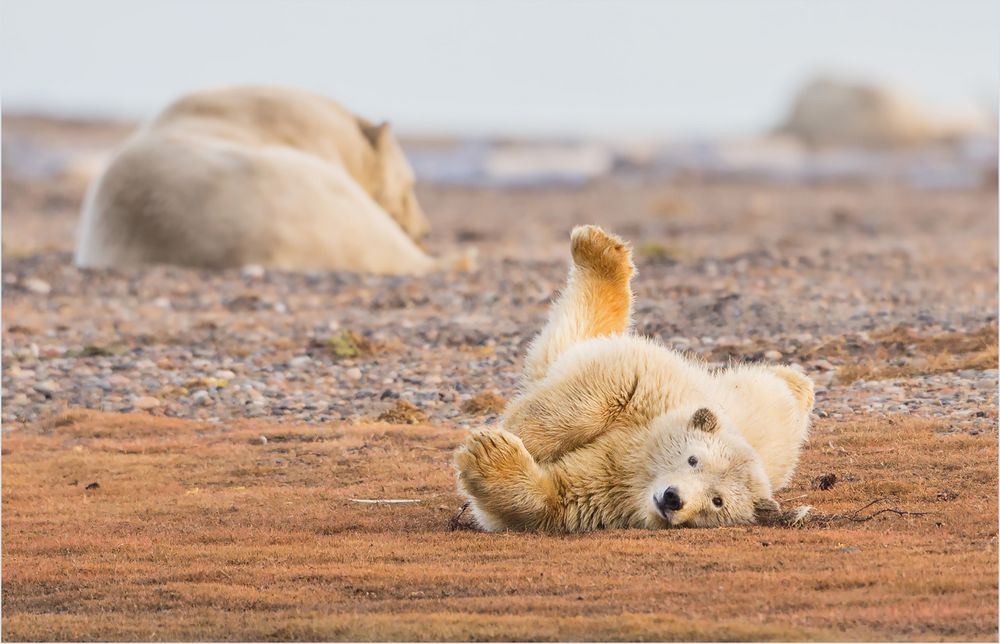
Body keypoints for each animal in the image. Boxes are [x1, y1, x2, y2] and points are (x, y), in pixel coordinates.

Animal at [458, 226, 816, 532]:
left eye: (718, 501)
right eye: (693, 459)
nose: (673, 499)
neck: (636, 460)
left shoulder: (607, 492)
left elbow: (551, 499)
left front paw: (489, 452)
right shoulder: (648, 387)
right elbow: (606, 388)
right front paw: (518, 435)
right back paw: (599, 248)